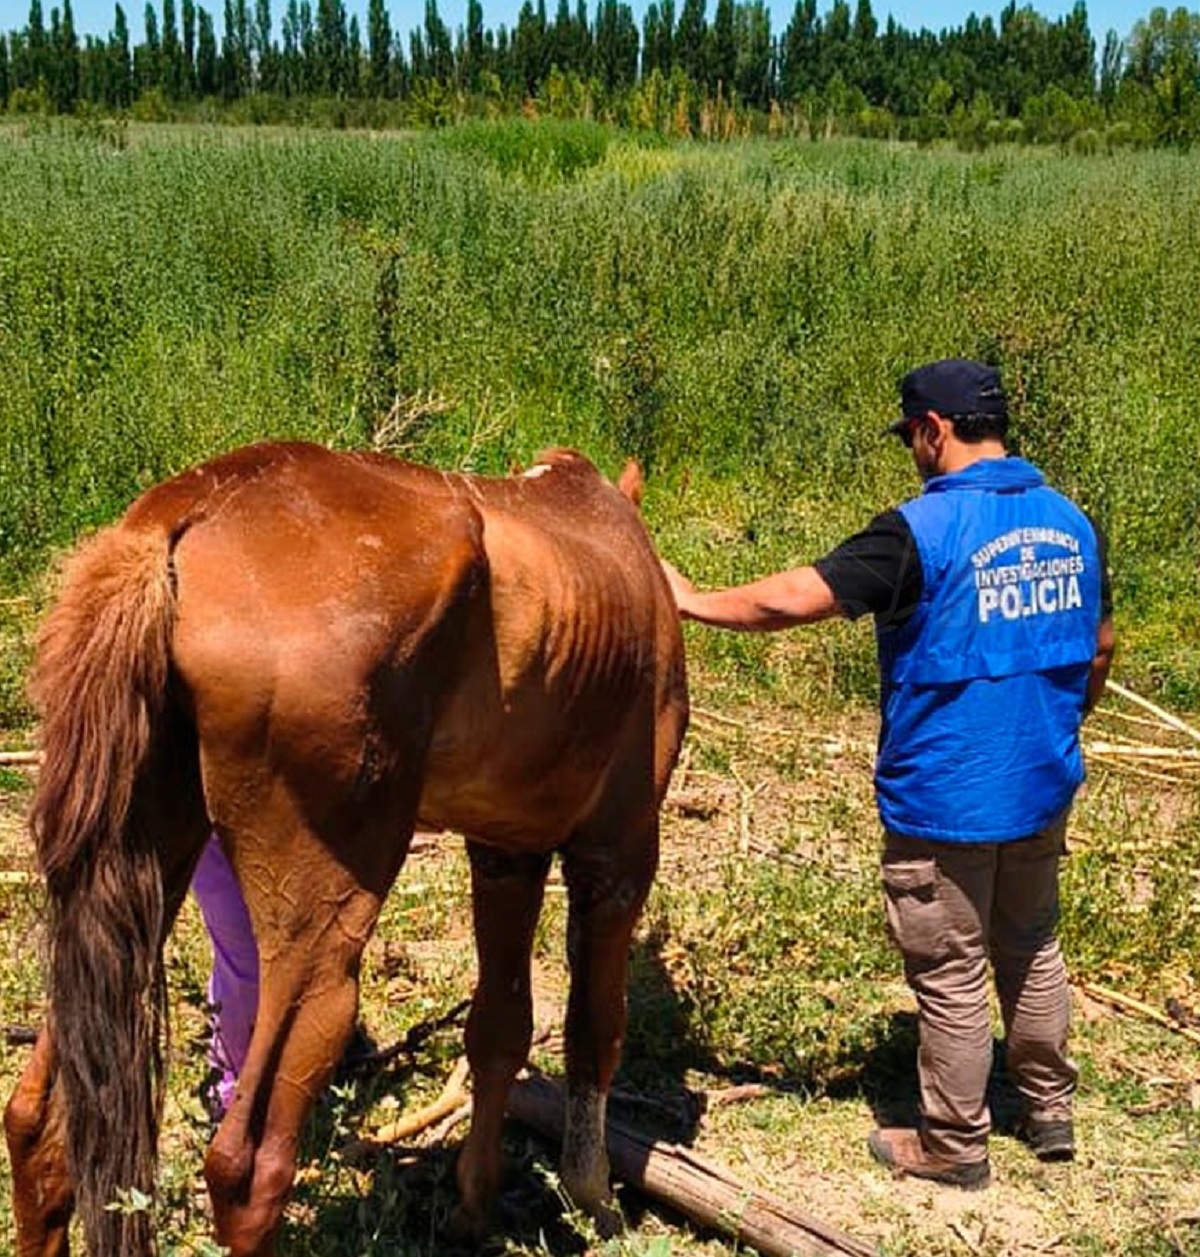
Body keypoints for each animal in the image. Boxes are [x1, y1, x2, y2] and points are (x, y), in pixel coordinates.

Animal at [4, 440, 689, 1257]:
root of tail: (180, 514)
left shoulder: (506, 855)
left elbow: (499, 1028)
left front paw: (474, 1207)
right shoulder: (618, 856)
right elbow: (594, 1031)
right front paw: (593, 1197)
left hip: (145, 871)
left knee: (39, 1123)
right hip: (322, 937)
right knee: (246, 1165)